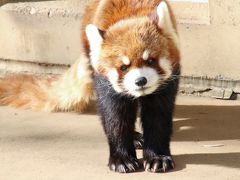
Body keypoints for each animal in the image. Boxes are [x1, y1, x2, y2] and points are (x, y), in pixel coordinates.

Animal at [0, 0, 180, 174]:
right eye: (123, 67)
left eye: (150, 60)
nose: (140, 81)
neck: (131, 16)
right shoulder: (105, 83)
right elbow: (114, 117)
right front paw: (122, 159)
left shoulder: (166, 83)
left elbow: (157, 117)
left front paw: (157, 158)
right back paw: (134, 137)